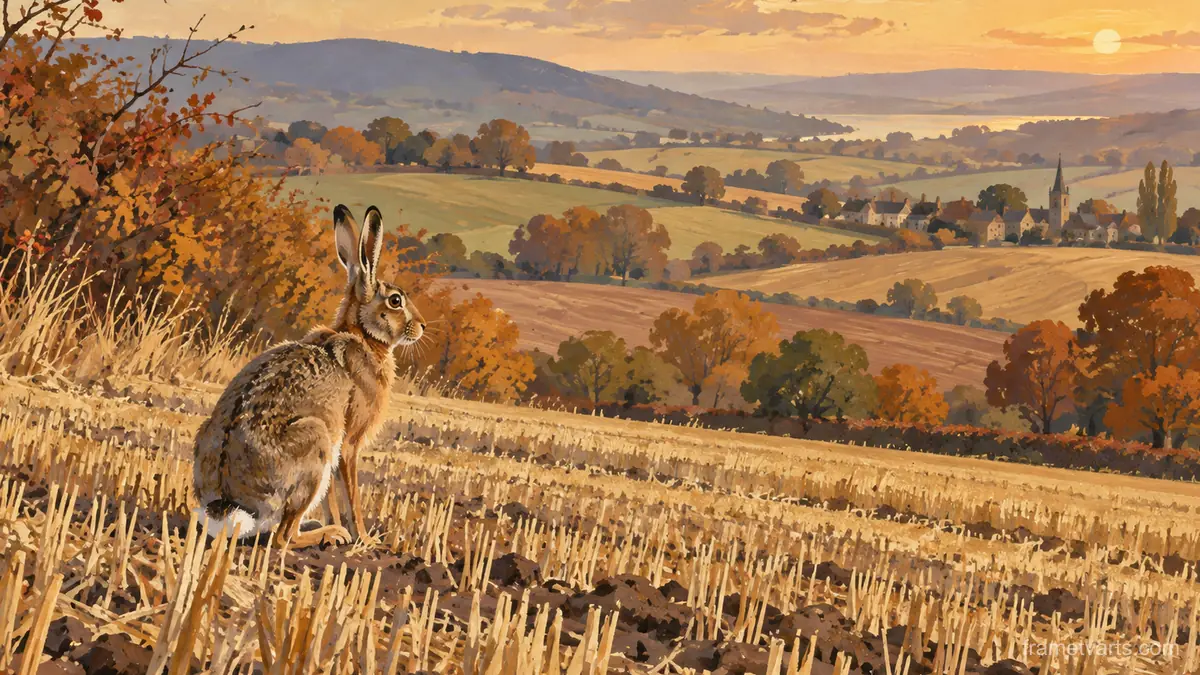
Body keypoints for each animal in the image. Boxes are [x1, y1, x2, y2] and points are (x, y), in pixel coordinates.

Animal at [192, 204, 426, 548]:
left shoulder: (337, 449)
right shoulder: (347, 443)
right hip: (316, 444)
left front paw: (344, 529)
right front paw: (364, 538)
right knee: (283, 537)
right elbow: (351, 495)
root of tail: (229, 501)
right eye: (395, 301)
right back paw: (329, 534)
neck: (364, 336)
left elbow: (332, 500)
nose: (422, 327)